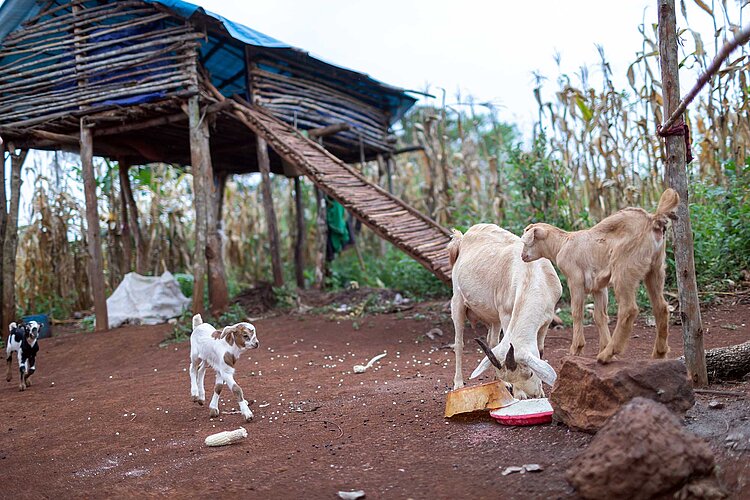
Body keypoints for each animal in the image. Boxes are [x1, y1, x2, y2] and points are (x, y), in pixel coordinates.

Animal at [448, 224, 561, 398]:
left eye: (530, 373)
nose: (533, 395)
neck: (531, 274)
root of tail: (462, 237)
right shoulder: (507, 313)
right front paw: (519, 394)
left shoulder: (546, 320)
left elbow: (540, 351)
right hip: (458, 300)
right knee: (459, 343)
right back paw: (458, 384)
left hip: (494, 317)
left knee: (492, 341)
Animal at [520, 188, 679, 363]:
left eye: (526, 242)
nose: (522, 256)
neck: (562, 244)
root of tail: (653, 221)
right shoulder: (599, 286)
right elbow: (600, 316)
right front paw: (603, 345)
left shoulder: (575, 279)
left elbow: (577, 312)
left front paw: (576, 349)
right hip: (655, 268)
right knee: (661, 307)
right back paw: (658, 353)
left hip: (624, 268)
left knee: (629, 309)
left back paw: (607, 354)